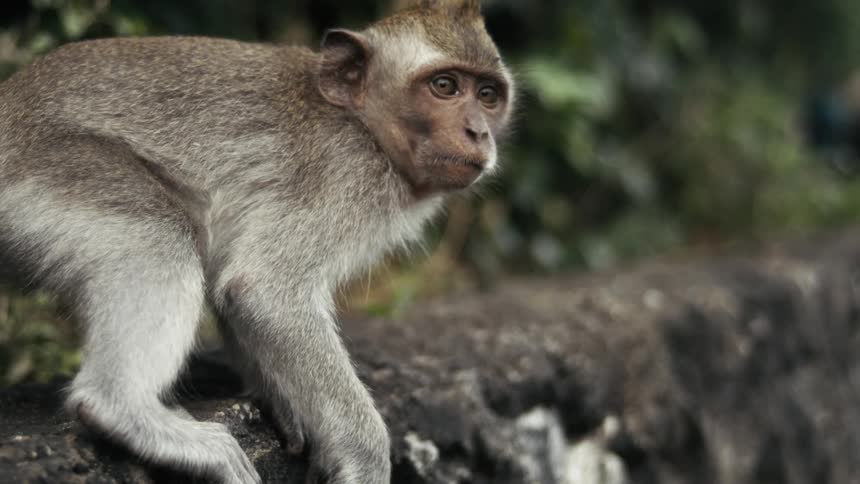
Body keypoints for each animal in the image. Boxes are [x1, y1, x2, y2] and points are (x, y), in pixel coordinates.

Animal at [0, 0, 514, 482]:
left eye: (488, 95)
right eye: (444, 86)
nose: (478, 132)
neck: (361, 123)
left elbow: (235, 292)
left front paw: (284, 403)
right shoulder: (344, 176)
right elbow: (264, 291)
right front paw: (365, 455)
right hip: (56, 168)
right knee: (156, 233)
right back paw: (123, 411)